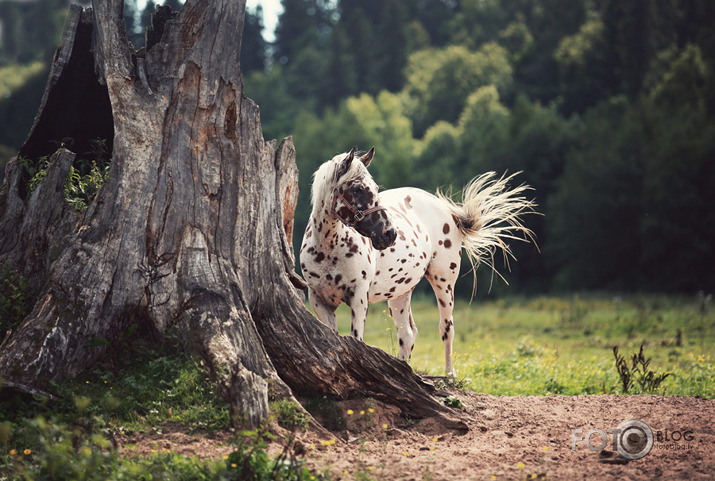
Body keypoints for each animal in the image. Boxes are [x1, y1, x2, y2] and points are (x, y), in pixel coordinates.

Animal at [300, 146, 536, 376]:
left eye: (375, 188)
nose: (389, 234)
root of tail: (446, 209)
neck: (328, 248)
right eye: (357, 189)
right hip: (400, 294)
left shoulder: (358, 297)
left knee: (446, 328)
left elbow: (357, 341)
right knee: (407, 334)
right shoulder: (319, 301)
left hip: (444, 283)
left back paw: (449, 375)